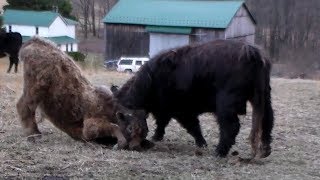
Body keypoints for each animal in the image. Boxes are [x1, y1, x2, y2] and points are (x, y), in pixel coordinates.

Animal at [16, 37, 152, 150]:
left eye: (146, 131)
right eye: (130, 128)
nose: (136, 146)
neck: (111, 108)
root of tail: (35, 41)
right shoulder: (89, 127)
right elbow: (114, 127)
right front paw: (119, 143)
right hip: (35, 88)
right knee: (24, 106)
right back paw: (34, 135)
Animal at [111, 39, 274, 159]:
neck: (152, 79)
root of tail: (251, 52)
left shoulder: (182, 110)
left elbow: (192, 126)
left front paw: (202, 143)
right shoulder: (165, 110)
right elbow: (162, 123)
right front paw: (157, 136)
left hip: (226, 103)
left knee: (231, 126)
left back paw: (219, 152)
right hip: (265, 97)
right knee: (268, 121)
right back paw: (265, 151)